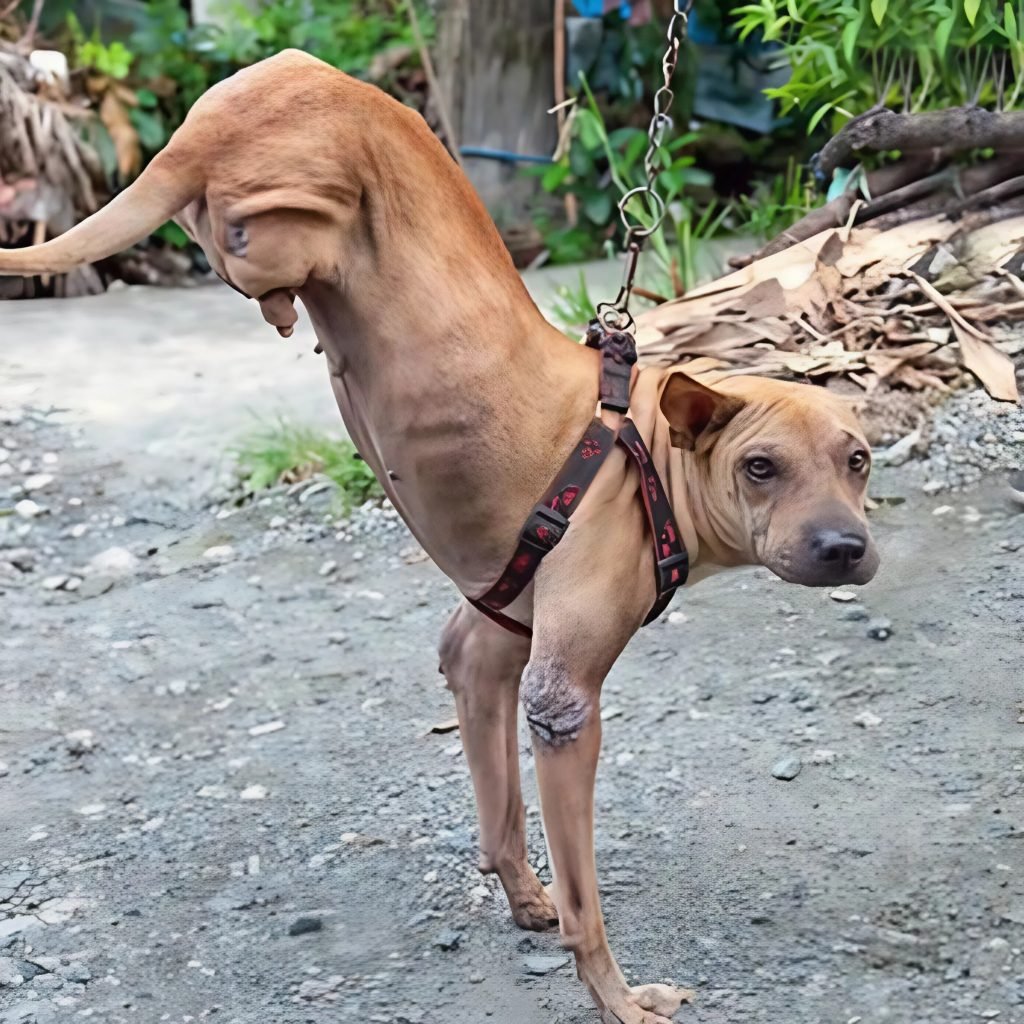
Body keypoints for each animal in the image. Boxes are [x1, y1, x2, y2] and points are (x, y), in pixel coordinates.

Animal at [2, 51, 880, 1019]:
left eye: (860, 462)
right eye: (760, 468)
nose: (845, 548)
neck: (648, 450)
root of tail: (218, 119)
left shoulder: (485, 649)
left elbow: (500, 817)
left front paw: (527, 899)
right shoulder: (562, 701)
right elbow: (587, 902)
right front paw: (614, 994)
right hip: (301, 212)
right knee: (245, 246)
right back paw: (279, 299)